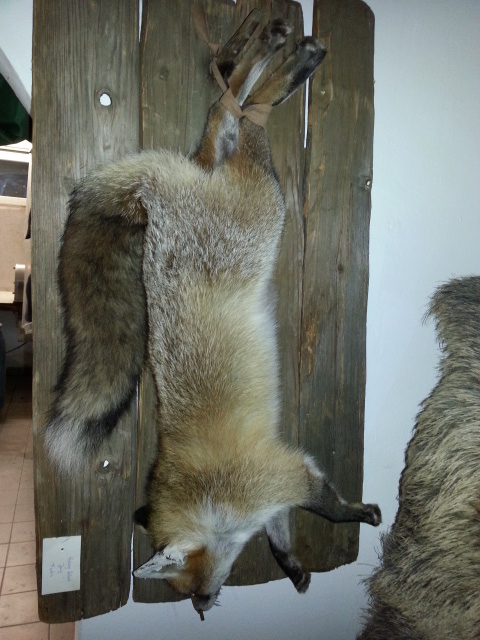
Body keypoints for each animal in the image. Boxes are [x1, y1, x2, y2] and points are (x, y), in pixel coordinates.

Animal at [44, 10, 381, 619]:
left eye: (194, 585)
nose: (202, 610)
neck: (213, 499)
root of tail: (154, 199)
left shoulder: (285, 474)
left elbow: (329, 508)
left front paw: (358, 515)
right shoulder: (276, 489)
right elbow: (280, 535)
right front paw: (294, 568)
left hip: (265, 203)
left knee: (240, 116)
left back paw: (277, 54)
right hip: (248, 188)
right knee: (228, 119)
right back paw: (281, 58)